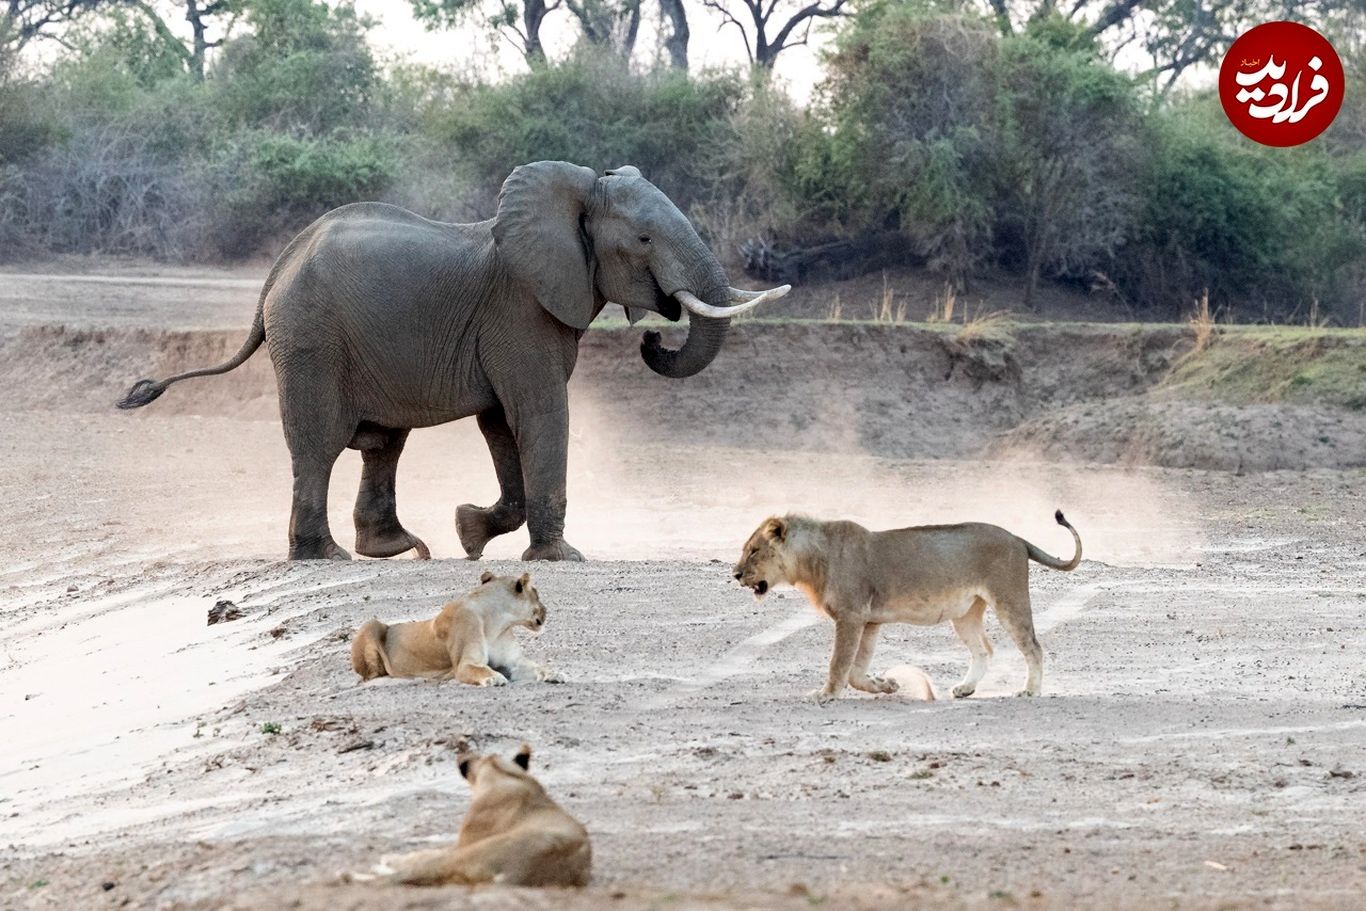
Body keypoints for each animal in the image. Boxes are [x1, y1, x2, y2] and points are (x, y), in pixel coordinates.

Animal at [117, 163, 792, 562]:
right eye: (646, 240)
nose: (654, 339)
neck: (570, 196)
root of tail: (277, 268)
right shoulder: (520, 312)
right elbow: (539, 414)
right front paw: (562, 559)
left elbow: (502, 425)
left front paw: (470, 534)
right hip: (310, 340)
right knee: (320, 444)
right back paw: (325, 557)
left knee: (382, 444)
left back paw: (398, 549)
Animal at [352, 570, 565, 682]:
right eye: (537, 594)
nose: (546, 610)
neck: (497, 623)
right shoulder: (465, 664)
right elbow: (479, 669)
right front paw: (494, 677)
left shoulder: (513, 661)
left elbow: (536, 666)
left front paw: (554, 673)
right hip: (370, 623)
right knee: (370, 675)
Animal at [355, 743, 590, 885]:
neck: (503, 775)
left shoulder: (462, 844)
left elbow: (424, 853)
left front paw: (391, 858)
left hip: (467, 854)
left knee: (412, 872)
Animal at [732, 510, 1081, 704]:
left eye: (754, 551)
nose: (735, 574)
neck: (811, 562)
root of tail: (1017, 538)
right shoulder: (869, 621)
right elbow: (856, 670)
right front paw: (885, 685)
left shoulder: (851, 616)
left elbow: (839, 662)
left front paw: (826, 694)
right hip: (965, 613)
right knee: (983, 650)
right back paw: (966, 689)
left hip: (1009, 598)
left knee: (1033, 647)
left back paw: (1030, 691)